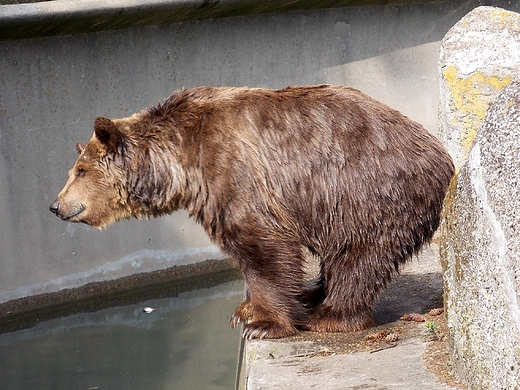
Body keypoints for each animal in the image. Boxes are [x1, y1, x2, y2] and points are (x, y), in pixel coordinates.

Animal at [49, 84, 456, 338]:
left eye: (80, 170)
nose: (55, 205)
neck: (180, 162)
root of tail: (444, 160)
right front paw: (245, 309)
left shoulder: (237, 176)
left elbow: (263, 249)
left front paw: (261, 322)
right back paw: (313, 295)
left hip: (365, 192)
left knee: (357, 256)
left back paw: (330, 315)